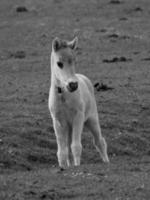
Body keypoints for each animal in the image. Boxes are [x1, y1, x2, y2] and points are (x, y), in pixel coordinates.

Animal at [48, 36, 109, 168]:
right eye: (59, 63)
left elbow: (76, 146)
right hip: (69, 127)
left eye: (74, 61)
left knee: (99, 141)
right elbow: (62, 150)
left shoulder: (78, 117)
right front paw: (63, 167)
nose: (73, 85)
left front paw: (77, 166)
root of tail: (83, 78)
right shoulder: (58, 121)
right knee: (68, 146)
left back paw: (106, 161)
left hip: (92, 120)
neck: (63, 95)